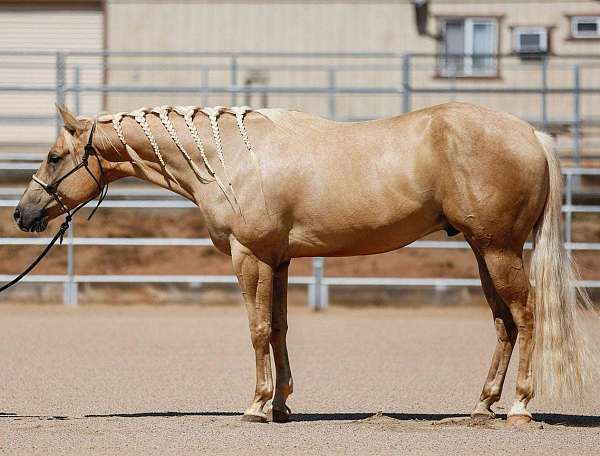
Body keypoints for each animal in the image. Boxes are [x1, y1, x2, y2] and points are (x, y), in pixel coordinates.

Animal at [12, 102, 596, 424]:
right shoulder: (280, 259)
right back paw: (482, 406)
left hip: (498, 249)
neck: (228, 157)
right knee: (503, 323)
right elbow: (279, 330)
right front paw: (282, 405)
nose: (23, 213)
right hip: (482, 250)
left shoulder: (250, 257)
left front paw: (256, 406)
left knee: (526, 317)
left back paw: (519, 407)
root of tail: (531, 134)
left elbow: (256, 330)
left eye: (55, 157)